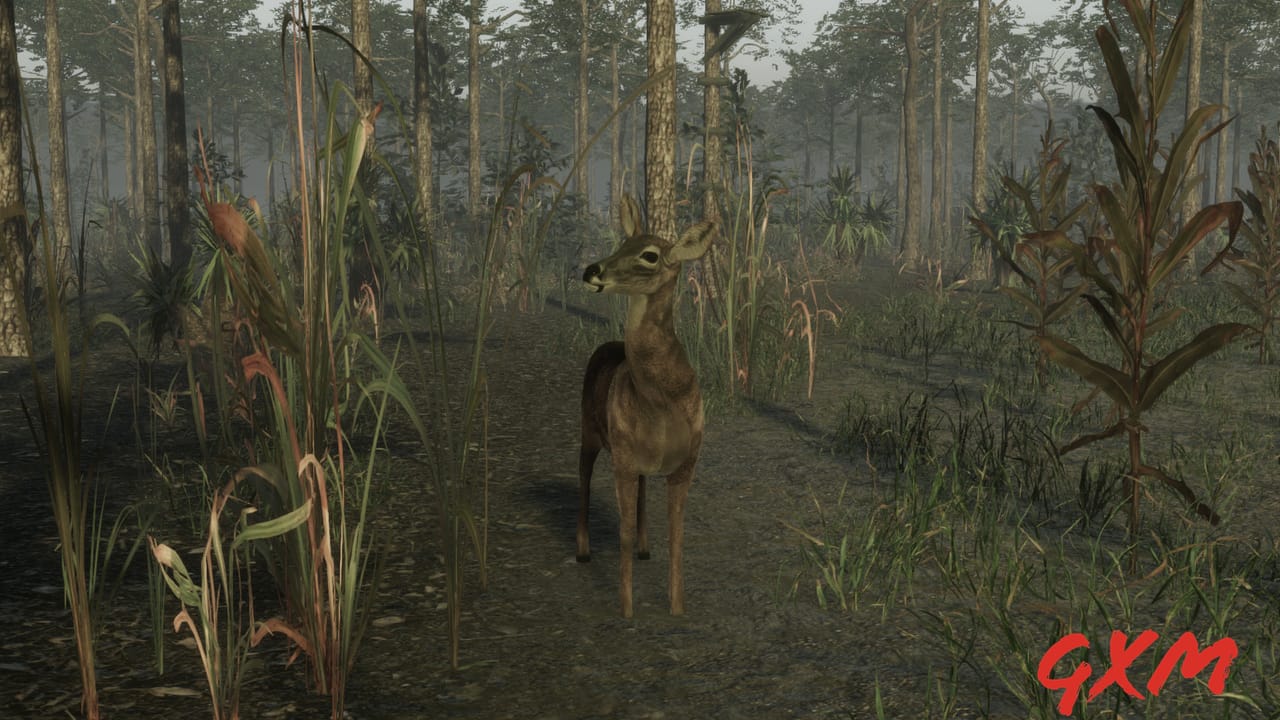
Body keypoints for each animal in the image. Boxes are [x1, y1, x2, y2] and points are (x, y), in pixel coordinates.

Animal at [577, 194, 716, 618]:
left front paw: (677, 606)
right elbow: (620, 534)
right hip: (588, 430)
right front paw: (626, 610)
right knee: (583, 476)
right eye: (622, 244)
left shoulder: (687, 464)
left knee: (640, 493)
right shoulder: (622, 458)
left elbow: (677, 534)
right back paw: (584, 551)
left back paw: (644, 548)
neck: (661, 406)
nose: (591, 270)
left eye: (650, 255)